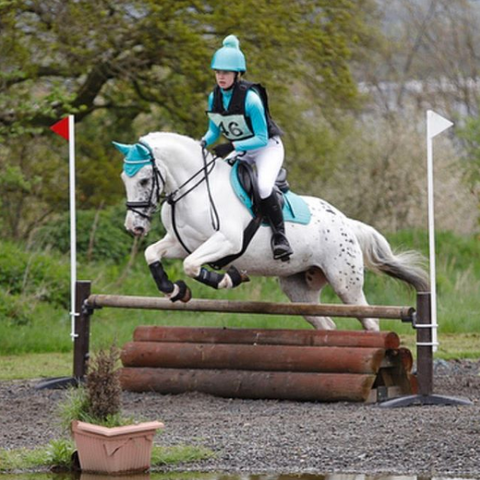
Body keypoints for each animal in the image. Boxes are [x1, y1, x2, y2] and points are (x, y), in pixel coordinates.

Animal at [114, 131, 430, 330]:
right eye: (124, 179)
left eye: (144, 180)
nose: (134, 226)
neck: (196, 189)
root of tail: (346, 222)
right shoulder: (182, 243)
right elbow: (152, 253)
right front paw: (173, 289)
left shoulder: (226, 241)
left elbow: (192, 265)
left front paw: (229, 278)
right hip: (298, 288)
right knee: (325, 322)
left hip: (345, 283)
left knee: (369, 319)